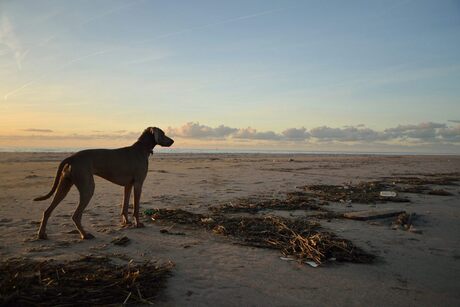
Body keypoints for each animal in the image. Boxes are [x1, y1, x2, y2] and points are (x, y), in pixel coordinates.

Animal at [34, 127, 174, 241]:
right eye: (163, 133)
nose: (172, 141)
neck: (141, 149)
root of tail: (72, 158)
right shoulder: (138, 184)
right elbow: (136, 207)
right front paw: (137, 224)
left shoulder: (128, 185)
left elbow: (125, 206)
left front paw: (126, 222)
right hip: (88, 187)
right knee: (76, 215)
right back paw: (85, 235)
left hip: (65, 185)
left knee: (47, 211)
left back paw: (42, 234)